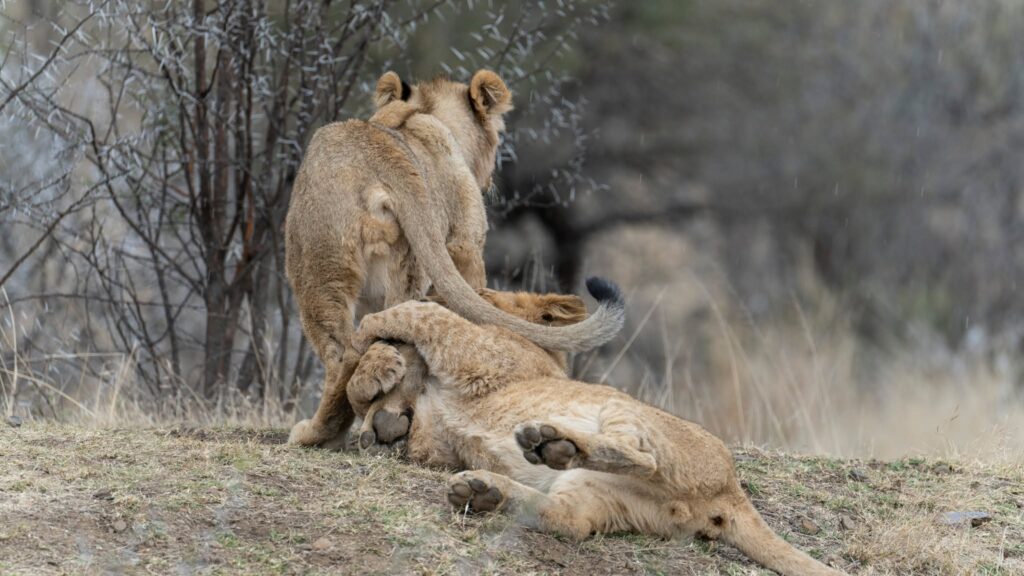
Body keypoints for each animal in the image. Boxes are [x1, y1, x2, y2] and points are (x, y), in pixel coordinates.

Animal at [285, 70, 624, 447]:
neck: (422, 113)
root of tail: (373, 151)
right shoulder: (467, 246)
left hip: (317, 265)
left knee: (341, 351)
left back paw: (322, 428)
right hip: (407, 266)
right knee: (390, 334)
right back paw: (364, 417)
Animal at [343, 278, 844, 576]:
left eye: (483, 288)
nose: (436, 285)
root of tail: (730, 490)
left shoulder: (476, 349)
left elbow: (418, 315)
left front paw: (367, 334)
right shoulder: (438, 436)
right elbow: (408, 420)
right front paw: (378, 413)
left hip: (627, 414)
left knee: (639, 456)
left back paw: (548, 444)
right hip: (605, 498)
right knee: (569, 521)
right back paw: (485, 490)